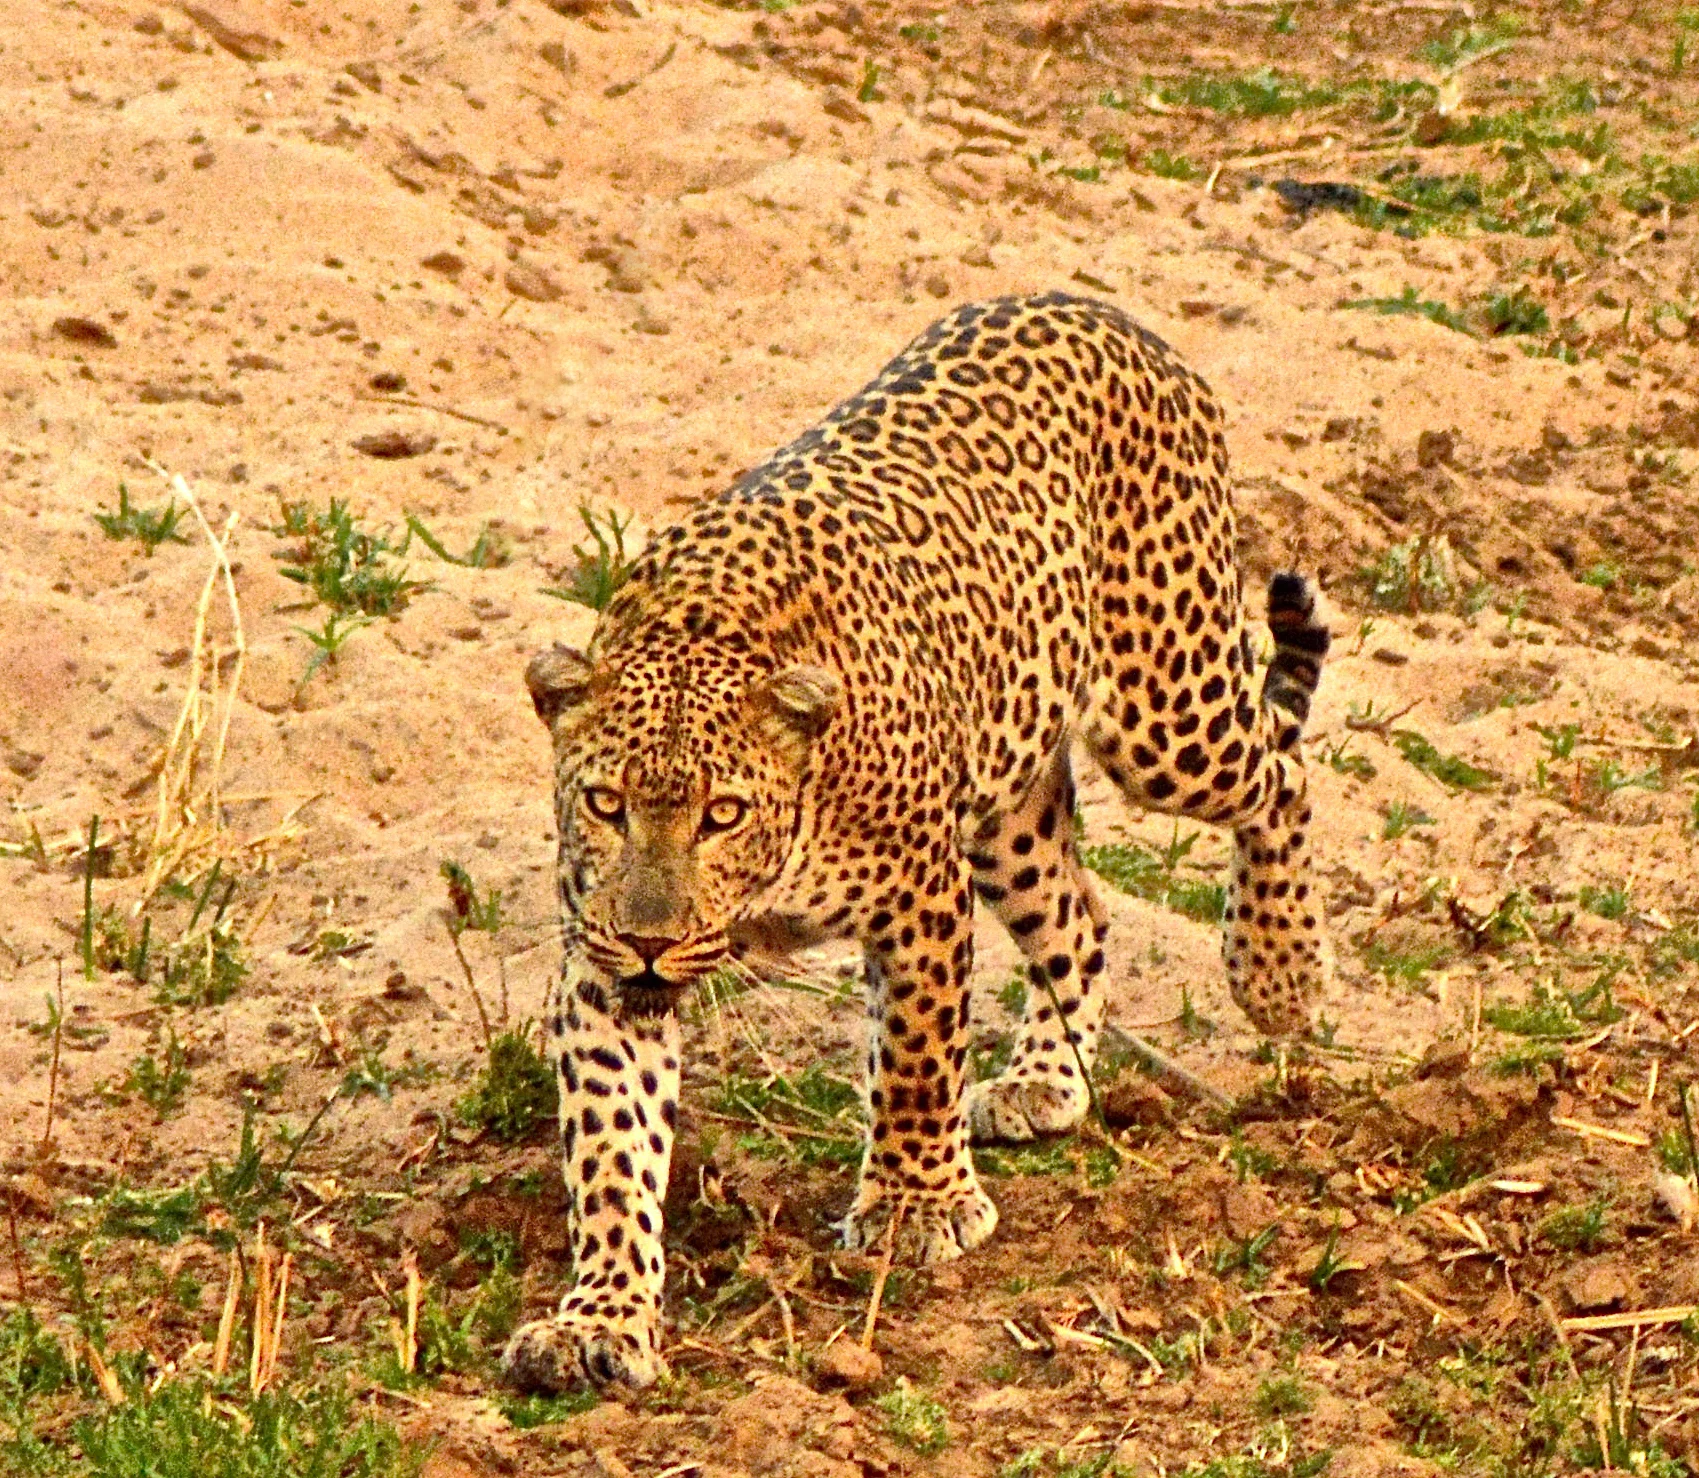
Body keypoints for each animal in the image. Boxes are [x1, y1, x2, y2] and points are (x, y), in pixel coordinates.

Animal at [502, 291, 1332, 1393]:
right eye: (603, 802)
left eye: (722, 813)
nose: (649, 940)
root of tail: (1100, 309)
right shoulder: (597, 965)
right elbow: (609, 1150)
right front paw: (600, 1316)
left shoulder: (919, 897)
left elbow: (914, 1055)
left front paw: (914, 1205)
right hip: (1010, 800)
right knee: (1079, 913)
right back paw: (1044, 1082)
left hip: (1167, 709)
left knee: (1280, 774)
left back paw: (1279, 975)